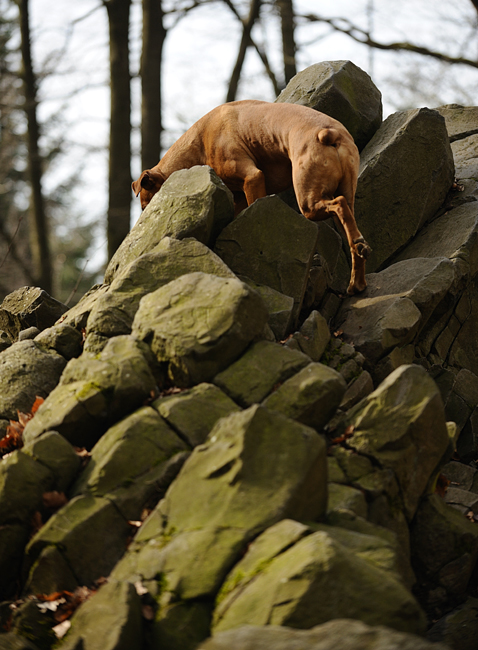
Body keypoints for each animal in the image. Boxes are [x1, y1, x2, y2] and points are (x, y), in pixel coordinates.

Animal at [133, 99, 372, 294]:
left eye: (145, 206)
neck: (199, 142)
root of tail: (329, 132)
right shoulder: (239, 196)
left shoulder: (252, 178)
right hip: (342, 194)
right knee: (349, 226)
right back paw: (357, 280)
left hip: (309, 202)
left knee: (339, 204)